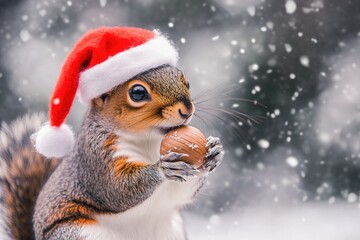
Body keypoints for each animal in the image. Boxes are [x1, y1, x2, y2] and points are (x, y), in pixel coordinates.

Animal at [0, 26, 224, 240]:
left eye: (187, 82)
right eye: (137, 93)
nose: (187, 109)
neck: (149, 141)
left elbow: (181, 193)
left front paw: (213, 153)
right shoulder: (97, 157)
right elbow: (117, 189)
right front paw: (163, 167)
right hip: (78, 231)